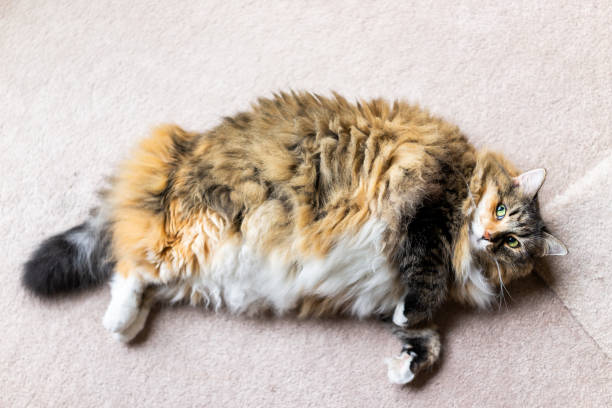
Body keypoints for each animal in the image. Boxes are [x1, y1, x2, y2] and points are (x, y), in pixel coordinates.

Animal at [23, 91, 568, 384]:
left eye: (515, 244)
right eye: (501, 210)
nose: (492, 236)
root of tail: (182, 151)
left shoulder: (385, 287)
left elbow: (429, 339)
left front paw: (406, 367)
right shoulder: (426, 206)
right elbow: (426, 287)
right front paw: (412, 331)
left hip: (199, 264)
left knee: (146, 276)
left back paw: (130, 326)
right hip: (202, 231)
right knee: (131, 264)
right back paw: (119, 322)